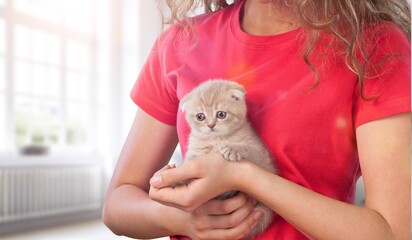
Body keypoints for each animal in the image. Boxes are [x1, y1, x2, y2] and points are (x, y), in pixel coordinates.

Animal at [180, 79, 276, 239]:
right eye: (200, 116)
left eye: (221, 114)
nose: (211, 125)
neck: (217, 140)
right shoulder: (195, 152)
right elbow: (188, 163)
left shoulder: (260, 154)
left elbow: (247, 148)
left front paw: (232, 149)